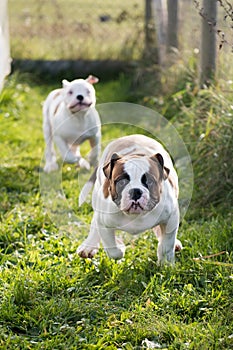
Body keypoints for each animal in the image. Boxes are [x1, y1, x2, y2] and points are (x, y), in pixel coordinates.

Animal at [77, 135, 183, 266]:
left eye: (149, 181)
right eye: (122, 182)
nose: (135, 191)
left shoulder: (171, 217)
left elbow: (167, 244)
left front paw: (166, 263)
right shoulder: (104, 223)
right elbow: (112, 250)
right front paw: (120, 247)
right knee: (94, 221)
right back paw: (88, 246)